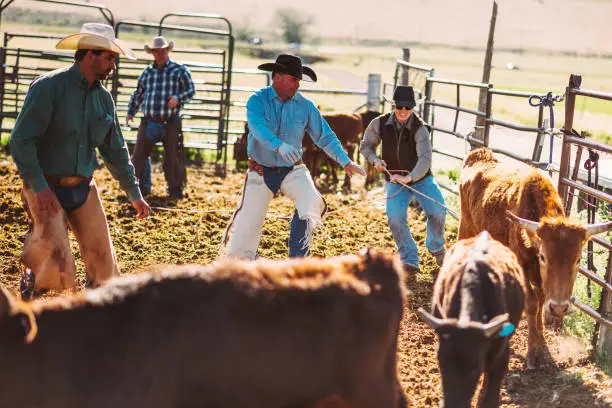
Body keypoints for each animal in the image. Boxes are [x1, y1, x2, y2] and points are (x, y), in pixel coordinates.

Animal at [460, 148, 612, 368]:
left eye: (577, 260)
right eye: (543, 257)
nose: (559, 308)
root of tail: (480, 154)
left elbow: (541, 300)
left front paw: (541, 341)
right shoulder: (521, 264)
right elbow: (532, 302)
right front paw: (534, 351)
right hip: (466, 226)